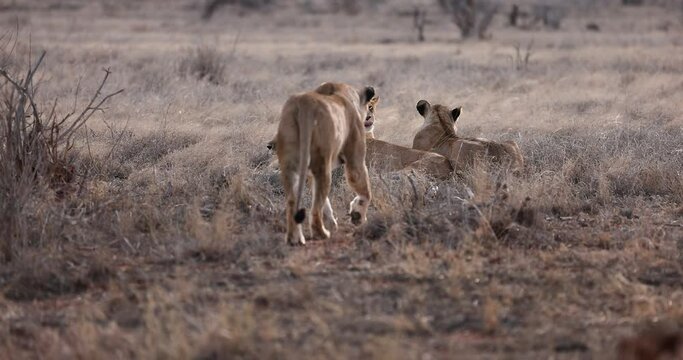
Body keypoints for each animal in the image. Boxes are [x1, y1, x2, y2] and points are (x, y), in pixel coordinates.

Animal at [276, 82, 376, 245]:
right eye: (369, 107)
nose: (368, 119)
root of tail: (304, 103)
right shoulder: (355, 159)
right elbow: (366, 192)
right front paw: (357, 216)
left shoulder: (309, 174)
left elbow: (326, 203)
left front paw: (333, 222)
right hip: (323, 165)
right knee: (315, 209)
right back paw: (322, 234)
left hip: (289, 166)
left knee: (292, 203)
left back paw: (294, 239)